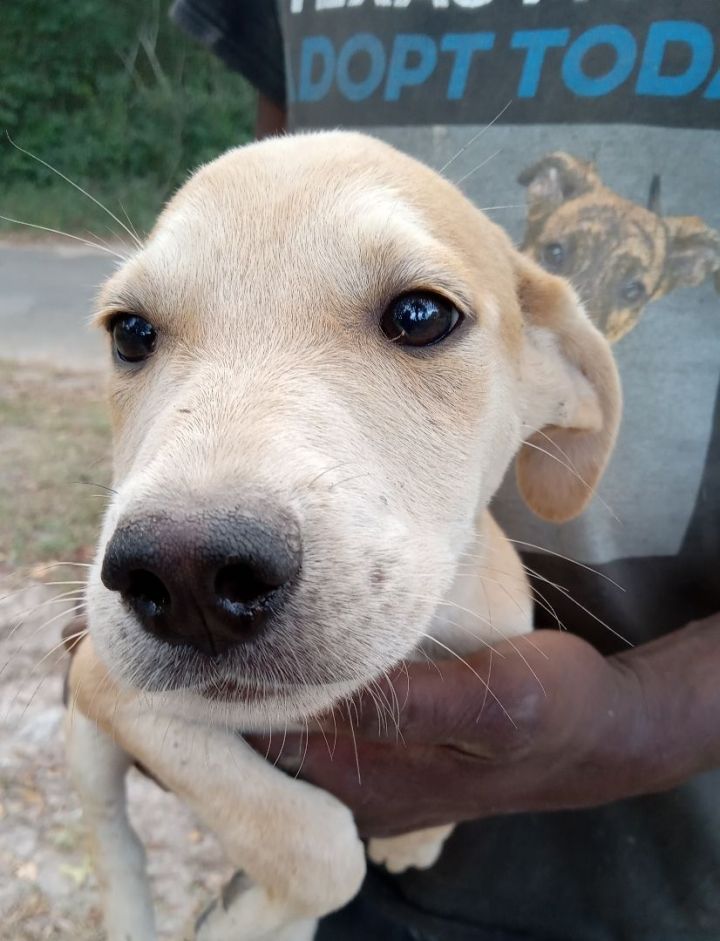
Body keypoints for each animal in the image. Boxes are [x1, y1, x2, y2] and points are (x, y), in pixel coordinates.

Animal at [64, 132, 620, 940]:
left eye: (421, 315)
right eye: (131, 333)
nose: (187, 575)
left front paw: (412, 838)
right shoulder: (109, 683)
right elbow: (314, 842)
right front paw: (238, 919)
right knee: (110, 830)